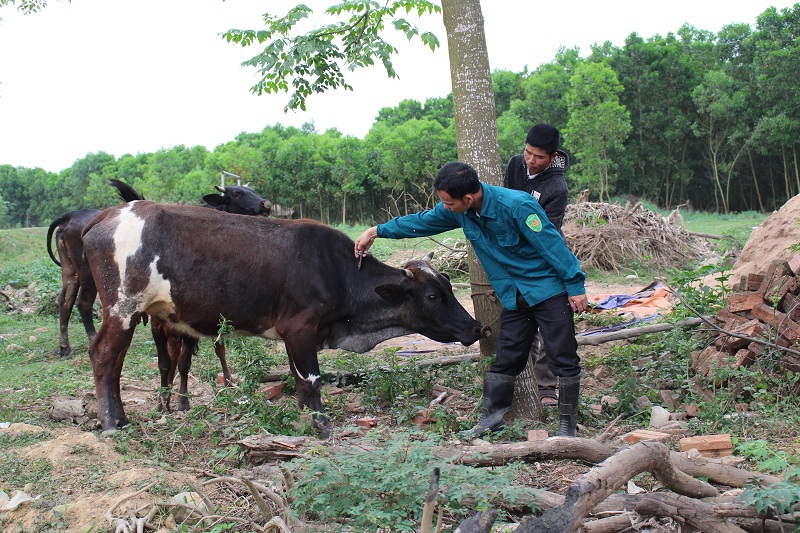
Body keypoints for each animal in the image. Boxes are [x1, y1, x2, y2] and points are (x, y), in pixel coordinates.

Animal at [81, 202, 484, 434]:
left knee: (116, 364)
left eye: (449, 286)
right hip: (122, 309)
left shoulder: (293, 335)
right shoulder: (301, 329)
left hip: (131, 315)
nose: (476, 327)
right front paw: (321, 426)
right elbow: (312, 379)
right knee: (103, 356)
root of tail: (106, 215)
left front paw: (303, 418)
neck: (337, 270)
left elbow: (298, 379)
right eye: (433, 296)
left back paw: (121, 417)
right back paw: (111, 424)